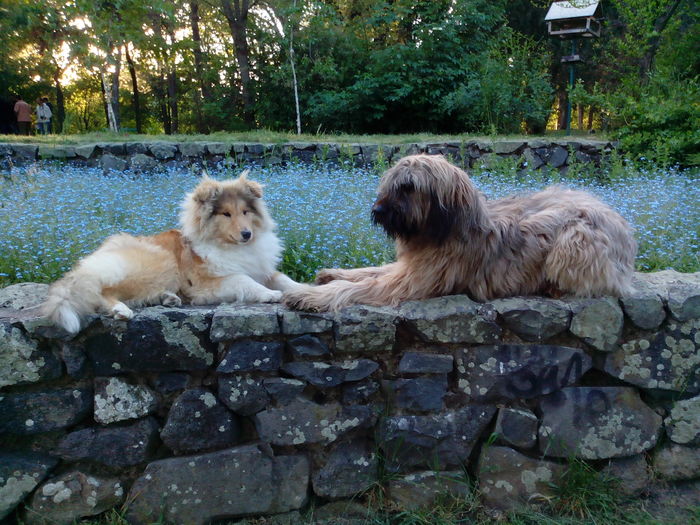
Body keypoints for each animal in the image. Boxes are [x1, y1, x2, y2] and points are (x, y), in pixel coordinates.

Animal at [43, 170, 300, 334]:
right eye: (226, 214)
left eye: (245, 211)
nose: (247, 234)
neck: (232, 246)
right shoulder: (207, 283)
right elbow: (244, 280)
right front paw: (270, 294)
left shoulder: (263, 269)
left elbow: (285, 279)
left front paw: (300, 290)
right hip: (156, 263)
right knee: (100, 293)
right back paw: (121, 310)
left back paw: (169, 298)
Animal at [282, 154, 636, 310]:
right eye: (391, 184)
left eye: (408, 187)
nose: (378, 211)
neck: (446, 229)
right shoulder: (409, 266)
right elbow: (371, 271)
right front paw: (332, 274)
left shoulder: (413, 281)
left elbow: (362, 287)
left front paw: (309, 295)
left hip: (574, 240)